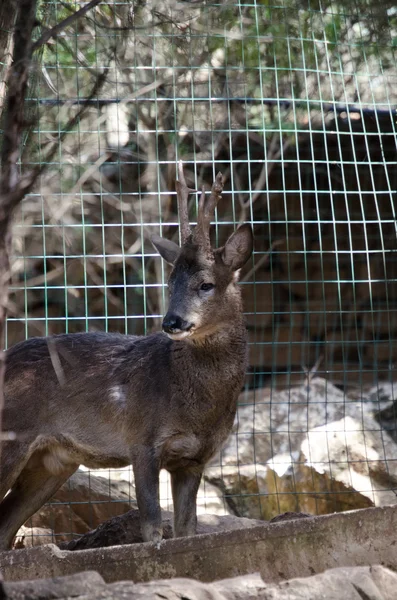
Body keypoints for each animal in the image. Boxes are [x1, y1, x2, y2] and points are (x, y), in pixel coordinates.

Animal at [0, 162, 252, 552]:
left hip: (53, 462)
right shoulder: (142, 440)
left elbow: (187, 528)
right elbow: (152, 527)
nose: (172, 321)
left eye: (206, 284)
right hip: (11, 435)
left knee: (5, 527)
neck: (196, 408)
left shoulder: (194, 459)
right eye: (170, 282)